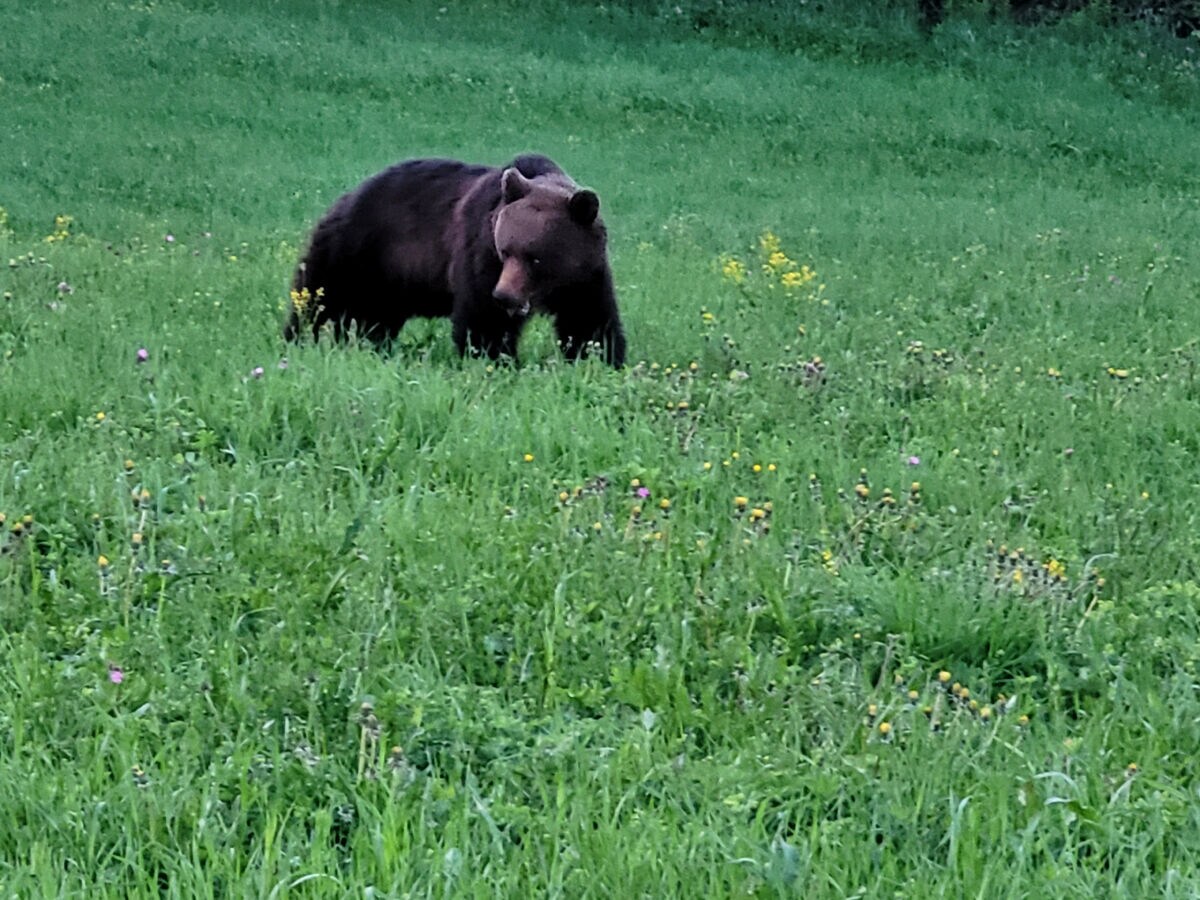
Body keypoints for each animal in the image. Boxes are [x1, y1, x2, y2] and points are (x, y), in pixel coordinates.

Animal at [288, 154, 628, 367]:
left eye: (536, 259)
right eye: (506, 250)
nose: (504, 295)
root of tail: (344, 198)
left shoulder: (586, 278)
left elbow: (589, 323)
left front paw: (600, 360)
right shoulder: (479, 253)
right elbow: (483, 321)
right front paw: (498, 360)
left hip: (385, 282)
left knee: (374, 321)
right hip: (353, 252)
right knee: (316, 299)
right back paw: (299, 339)